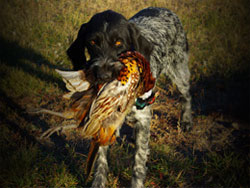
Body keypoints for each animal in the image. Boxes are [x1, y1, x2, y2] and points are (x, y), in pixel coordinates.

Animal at [66, 6, 191, 188]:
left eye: (119, 43)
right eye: (92, 42)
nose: (103, 76)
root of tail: (163, 8)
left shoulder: (143, 117)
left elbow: (138, 162)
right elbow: (101, 161)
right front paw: (98, 182)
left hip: (178, 70)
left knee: (186, 94)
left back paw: (187, 121)